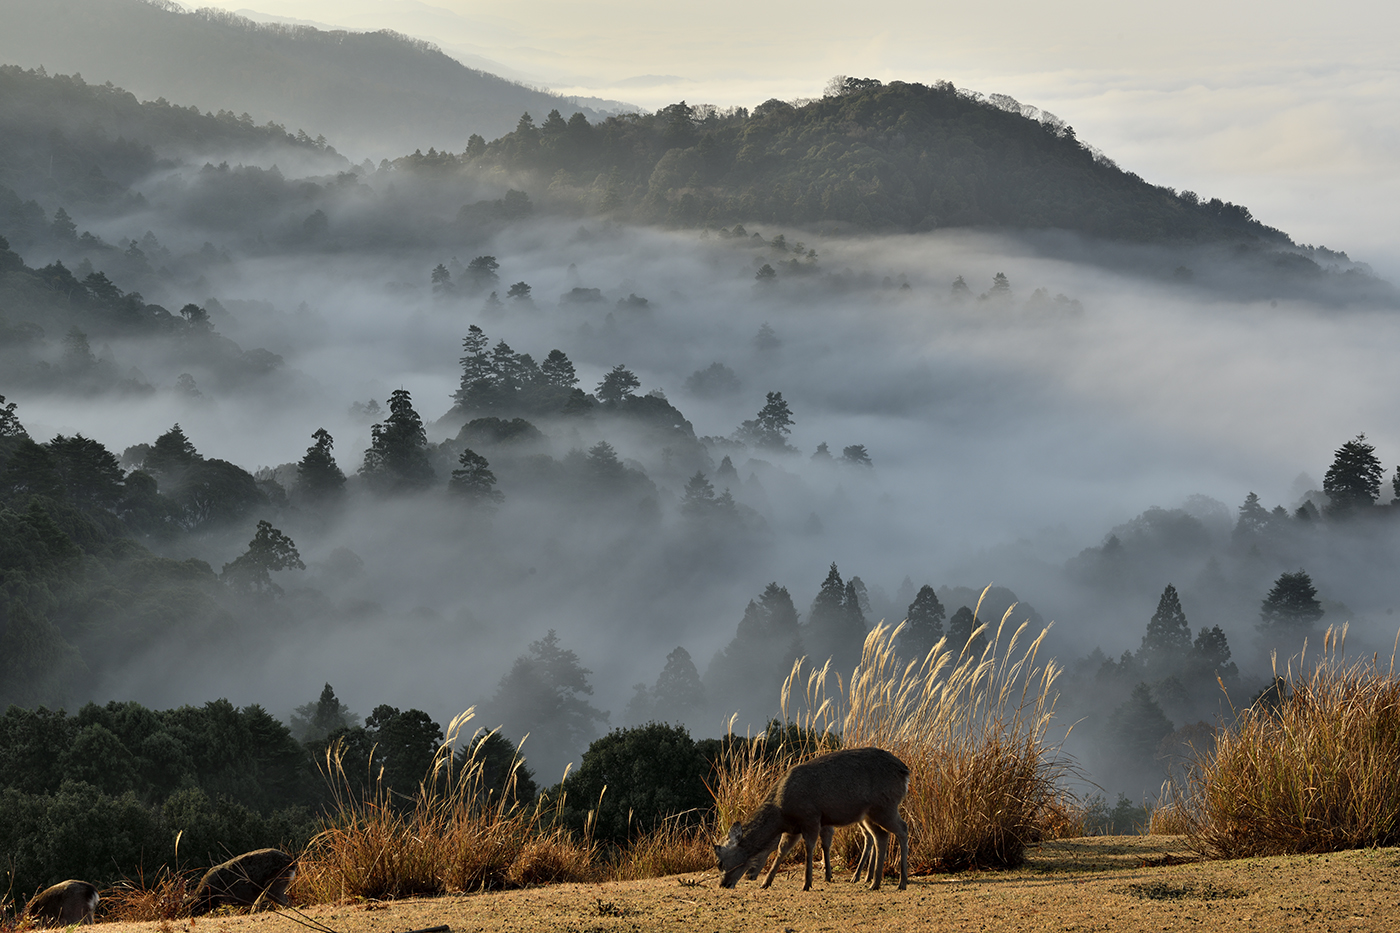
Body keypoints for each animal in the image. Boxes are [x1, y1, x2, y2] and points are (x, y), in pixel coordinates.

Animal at [716, 745, 912, 890]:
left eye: (720, 862)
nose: (724, 884)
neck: (781, 812)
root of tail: (905, 771)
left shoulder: (810, 817)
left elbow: (809, 847)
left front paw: (807, 883)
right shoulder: (793, 828)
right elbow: (782, 850)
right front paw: (766, 882)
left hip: (885, 807)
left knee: (902, 828)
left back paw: (901, 882)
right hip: (871, 814)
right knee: (881, 836)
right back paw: (874, 883)